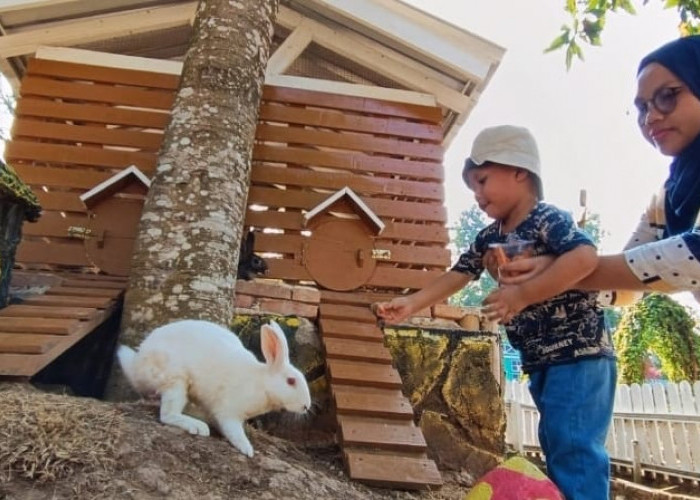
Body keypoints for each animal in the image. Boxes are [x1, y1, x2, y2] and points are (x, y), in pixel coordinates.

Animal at [117, 320, 312, 458]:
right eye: (291, 381)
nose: (306, 406)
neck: (261, 383)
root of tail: (136, 365)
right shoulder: (228, 412)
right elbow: (234, 432)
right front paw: (247, 449)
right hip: (175, 382)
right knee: (167, 414)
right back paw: (198, 427)